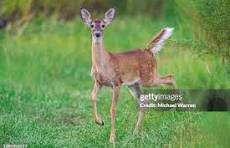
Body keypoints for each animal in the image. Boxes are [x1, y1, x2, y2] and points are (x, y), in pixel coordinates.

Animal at [80, 7, 175, 143]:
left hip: (148, 77)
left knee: (170, 77)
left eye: (103, 25)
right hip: (133, 84)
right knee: (144, 102)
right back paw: (135, 133)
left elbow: (113, 108)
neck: (104, 63)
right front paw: (99, 121)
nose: (97, 33)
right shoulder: (98, 81)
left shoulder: (117, 82)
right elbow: (92, 97)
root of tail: (148, 51)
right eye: (92, 25)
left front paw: (112, 138)